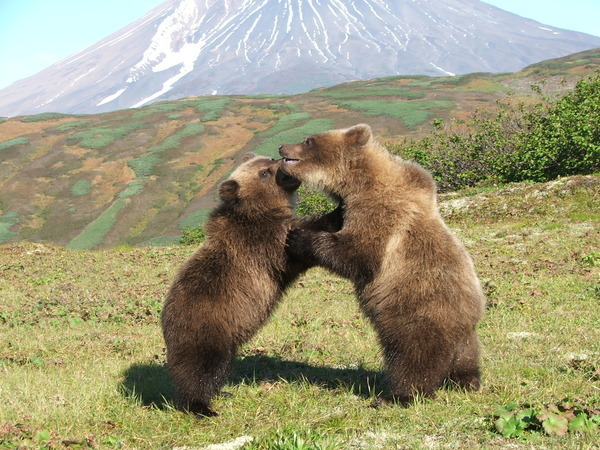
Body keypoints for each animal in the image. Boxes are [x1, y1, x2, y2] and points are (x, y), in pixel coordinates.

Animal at [162, 154, 342, 414]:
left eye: (270, 159)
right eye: (264, 172)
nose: (282, 161)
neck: (258, 210)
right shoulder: (264, 241)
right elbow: (296, 245)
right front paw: (338, 210)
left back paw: (221, 392)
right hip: (207, 326)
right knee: (201, 369)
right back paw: (200, 406)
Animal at [278, 125, 486, 406]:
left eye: (309, 140)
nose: (282, 147)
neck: (358, 182)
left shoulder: (379, 211)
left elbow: (359, 253)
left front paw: (299, 237)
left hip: (415, 314)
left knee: (412, 358)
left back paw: (397, 396)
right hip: (465, 335)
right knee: (467, 358)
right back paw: (466, 382)